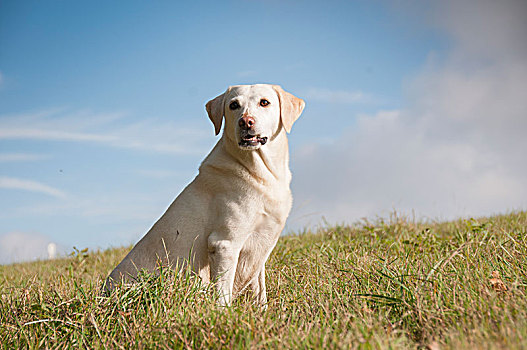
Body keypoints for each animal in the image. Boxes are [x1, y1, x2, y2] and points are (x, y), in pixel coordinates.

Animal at [105, 83, 306, 304]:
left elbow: (259, 291)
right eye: (233, 105)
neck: (260, 172)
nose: (245, 121)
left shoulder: (261, 246)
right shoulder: (225, 243)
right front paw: (224, 311)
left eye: (264, 102)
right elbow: (224, 291)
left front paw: (262, 310)